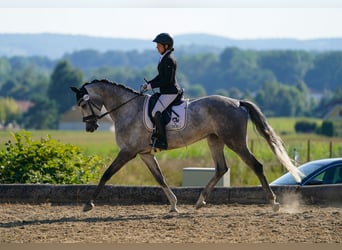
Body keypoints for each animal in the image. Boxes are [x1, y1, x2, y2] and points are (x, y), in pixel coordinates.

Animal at [71, 79, 300, 212]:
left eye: (82, 104)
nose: (90, 127)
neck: (127, 109)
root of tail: (237, 102)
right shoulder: (145, 154)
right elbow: (160, 178)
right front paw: (173, 205)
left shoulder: (128, 151)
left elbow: (107, 174)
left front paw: (88, 203)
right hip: (214, 140)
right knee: (221, 168)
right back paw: (199, 201)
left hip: (234, 141)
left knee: (256, 166)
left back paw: (273, 202)